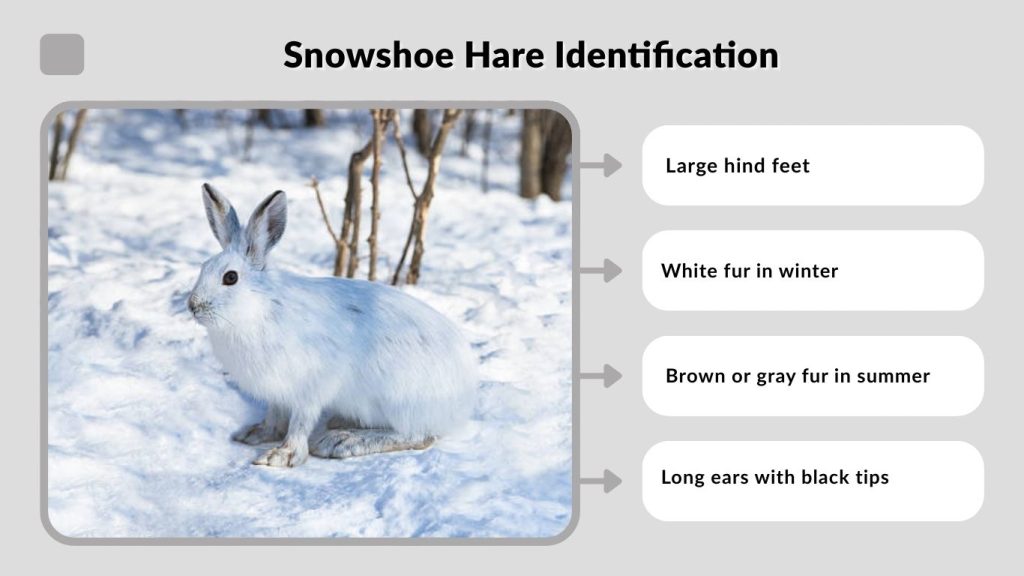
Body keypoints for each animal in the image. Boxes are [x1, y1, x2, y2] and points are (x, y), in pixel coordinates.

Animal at [187, 183, 477, 467]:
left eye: (231, 278)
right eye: (203, 267)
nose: (193, 306)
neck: (262, 307)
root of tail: (461, 399)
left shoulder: (311, 387)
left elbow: (300, 423)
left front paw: (281, 456)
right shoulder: (277, 394)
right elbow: (275, 416)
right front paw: (256, 433)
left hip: (400, 397)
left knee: (419, 435)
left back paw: (343, 441)